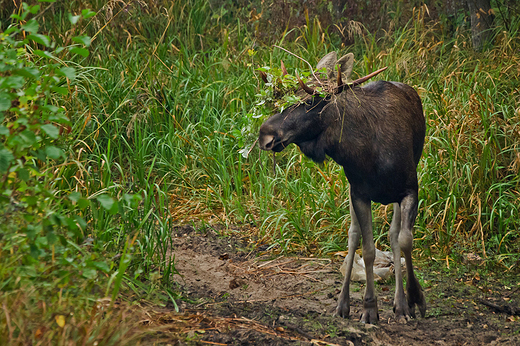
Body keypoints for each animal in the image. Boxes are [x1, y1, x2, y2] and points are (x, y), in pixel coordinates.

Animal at [258, 52, 426, 324]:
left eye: (311, 101)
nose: (265, 135)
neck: (368, 154)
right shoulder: (359, 194)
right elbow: (367, 250)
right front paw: (369, 308)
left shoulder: (410, 189)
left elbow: (404, 240)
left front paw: (414, 299)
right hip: (350, 190)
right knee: (352, 236)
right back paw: (343, 303)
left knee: (393, 236)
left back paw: (400, 303)